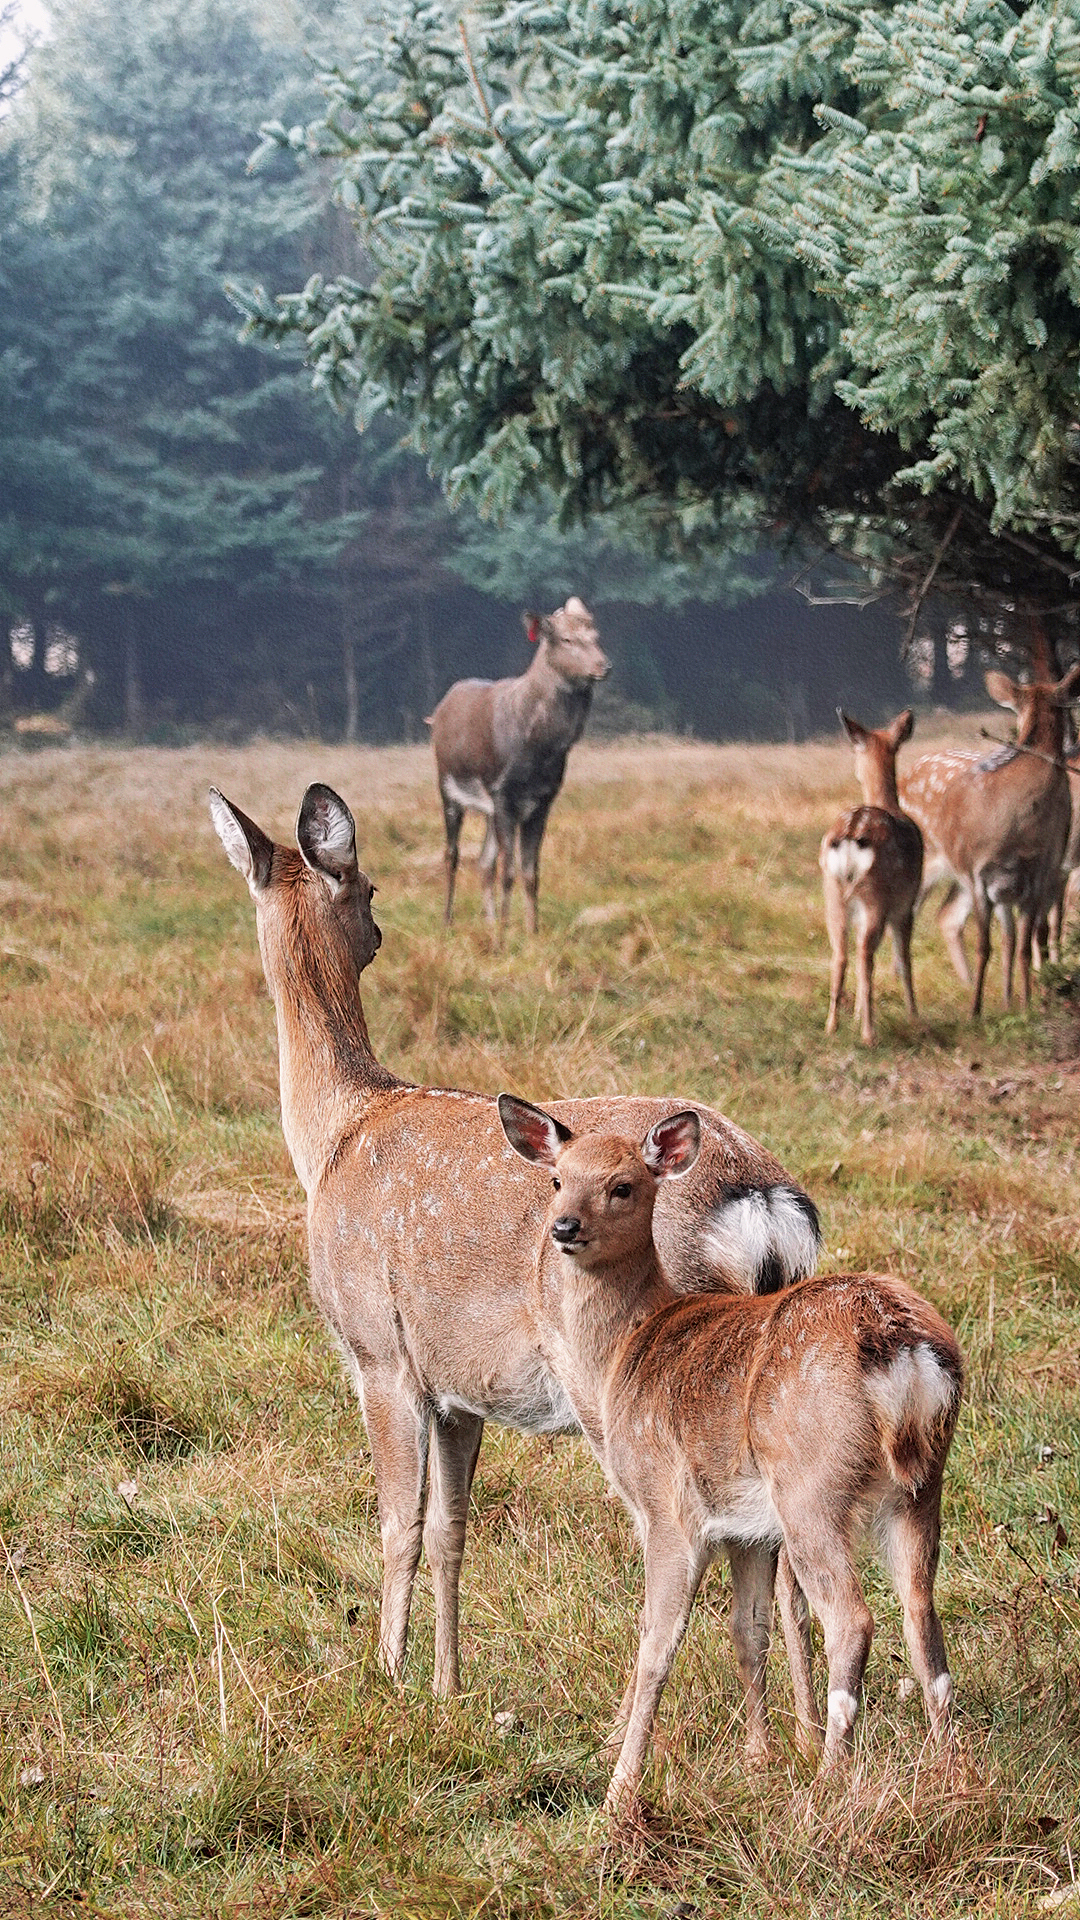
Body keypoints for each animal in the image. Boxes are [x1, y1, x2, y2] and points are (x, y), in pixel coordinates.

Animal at [209, 782, 822, 1706]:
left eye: (371, 885)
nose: (381, 932)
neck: (336, 1136)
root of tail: (762, 1200)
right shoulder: (458, 1389)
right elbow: (450, 1531)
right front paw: (445, 1687)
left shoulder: (380, 1351)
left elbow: (397, 1523)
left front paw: (386, 1676)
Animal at [426, 596, 610, 937]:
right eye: (566, 639)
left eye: (595, 636)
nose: (603, 665)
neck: (540, 749)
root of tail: (438, 712)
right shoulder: (502, 790)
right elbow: (508, 871)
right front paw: (505, 933)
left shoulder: (543, 799)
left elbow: (530, 872)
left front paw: (531, 931)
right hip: (448, 783)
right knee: (452, 854)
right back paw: (447, 922)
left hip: (488, 808)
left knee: (483, 862)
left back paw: (487, 921)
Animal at [498, 1094, 962, 1814]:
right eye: (556, 1179)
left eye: (623, 1185)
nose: (564, 1227)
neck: (626, 1350)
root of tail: (904, 1353)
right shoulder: (748, 1529)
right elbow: (749, 1631)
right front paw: (758, 1760)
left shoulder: (667, 1505)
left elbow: (657, 1641)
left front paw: (619, 1787)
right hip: (918, 1489)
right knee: (920, 1616)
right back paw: (946, 1775)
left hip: (811, 1487)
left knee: (853, 1619)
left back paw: (827, 1784)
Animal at [821, 708, 924, 1046]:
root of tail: (852, 832)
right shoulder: (906, 905)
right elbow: (904, 957)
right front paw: (914, 1015)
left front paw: (853, 1017)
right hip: (875, 895)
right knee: (865, 955)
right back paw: (869, 1034)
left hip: (833, 894)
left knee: (840, 954)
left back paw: (832, 1026)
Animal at [901, 664, 1080, 1017]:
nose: (1070, 744)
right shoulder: (978, 871)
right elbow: (986, 945)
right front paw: (976, 1009)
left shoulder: (1038, 871)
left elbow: (1023, 942)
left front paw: (1024, 1003)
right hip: (928, 867)